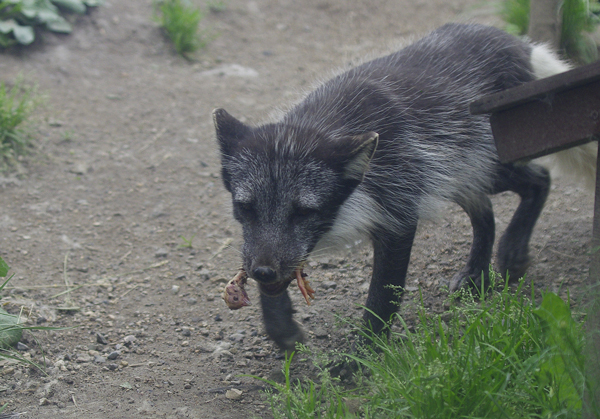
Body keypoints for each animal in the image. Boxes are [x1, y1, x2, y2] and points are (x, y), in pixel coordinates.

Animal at [213, 23, 592, 352]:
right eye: (245, 207)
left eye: (304, 212)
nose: (262, 272)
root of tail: (516, 42)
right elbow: (270, 271)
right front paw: (281, 326)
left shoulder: (398, 216)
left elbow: (381, 299)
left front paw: (362, 359)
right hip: (457, 176)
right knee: (486, 211)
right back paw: (476, 275)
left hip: (494, 162)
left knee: (540, 179)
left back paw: (512, 252)